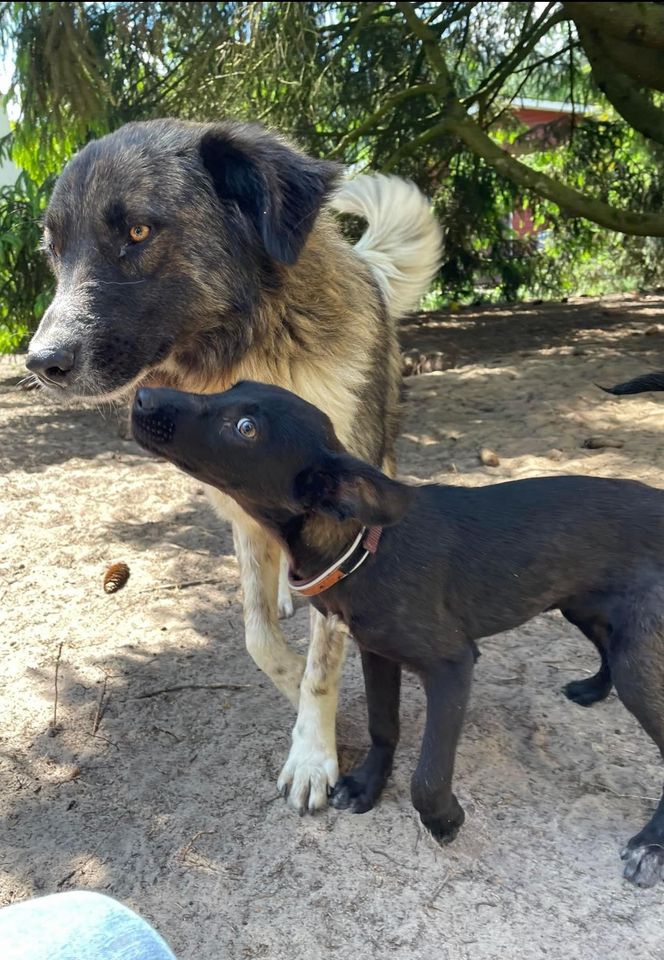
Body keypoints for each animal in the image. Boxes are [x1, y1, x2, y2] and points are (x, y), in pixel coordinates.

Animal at [27, 118, 440, 808]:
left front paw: (312, 751)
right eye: (54, 249)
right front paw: (297, 689)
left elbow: (324, 662)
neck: (248, 351)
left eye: (138, 232)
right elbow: (258, 638)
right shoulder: (242, 515)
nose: (40, 362)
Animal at [132, 380, 664, 884]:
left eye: (245, 428)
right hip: (587, 608)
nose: (142, 396)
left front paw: (443, 820)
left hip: (636, 660)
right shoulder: (377, 653)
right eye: (232, 386)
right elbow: (382, 725)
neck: (364, 545)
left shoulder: (452, 665)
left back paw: (649, 845)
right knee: (606, 649)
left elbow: (427, 775)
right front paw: (368, 783)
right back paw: (593, 689)